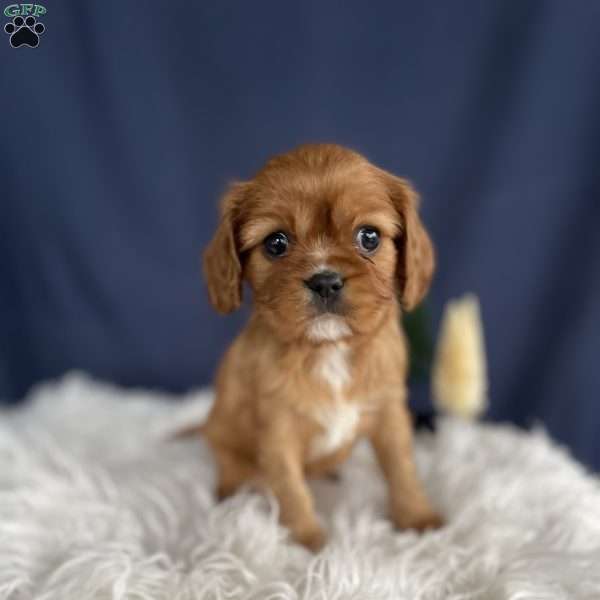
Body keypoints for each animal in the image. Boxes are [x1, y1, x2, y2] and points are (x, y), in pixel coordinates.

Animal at [202, 144, 440, 548]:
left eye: (369, 237)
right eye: (276, 243)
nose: (324, 281)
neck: (330, 349)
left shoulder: (390, 411)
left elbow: (402, 467)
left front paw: (416, 516)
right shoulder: (277, 429)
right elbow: (290, 487)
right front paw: (308, 540)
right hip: (223, 433)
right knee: (230, 464)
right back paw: (229, 492)